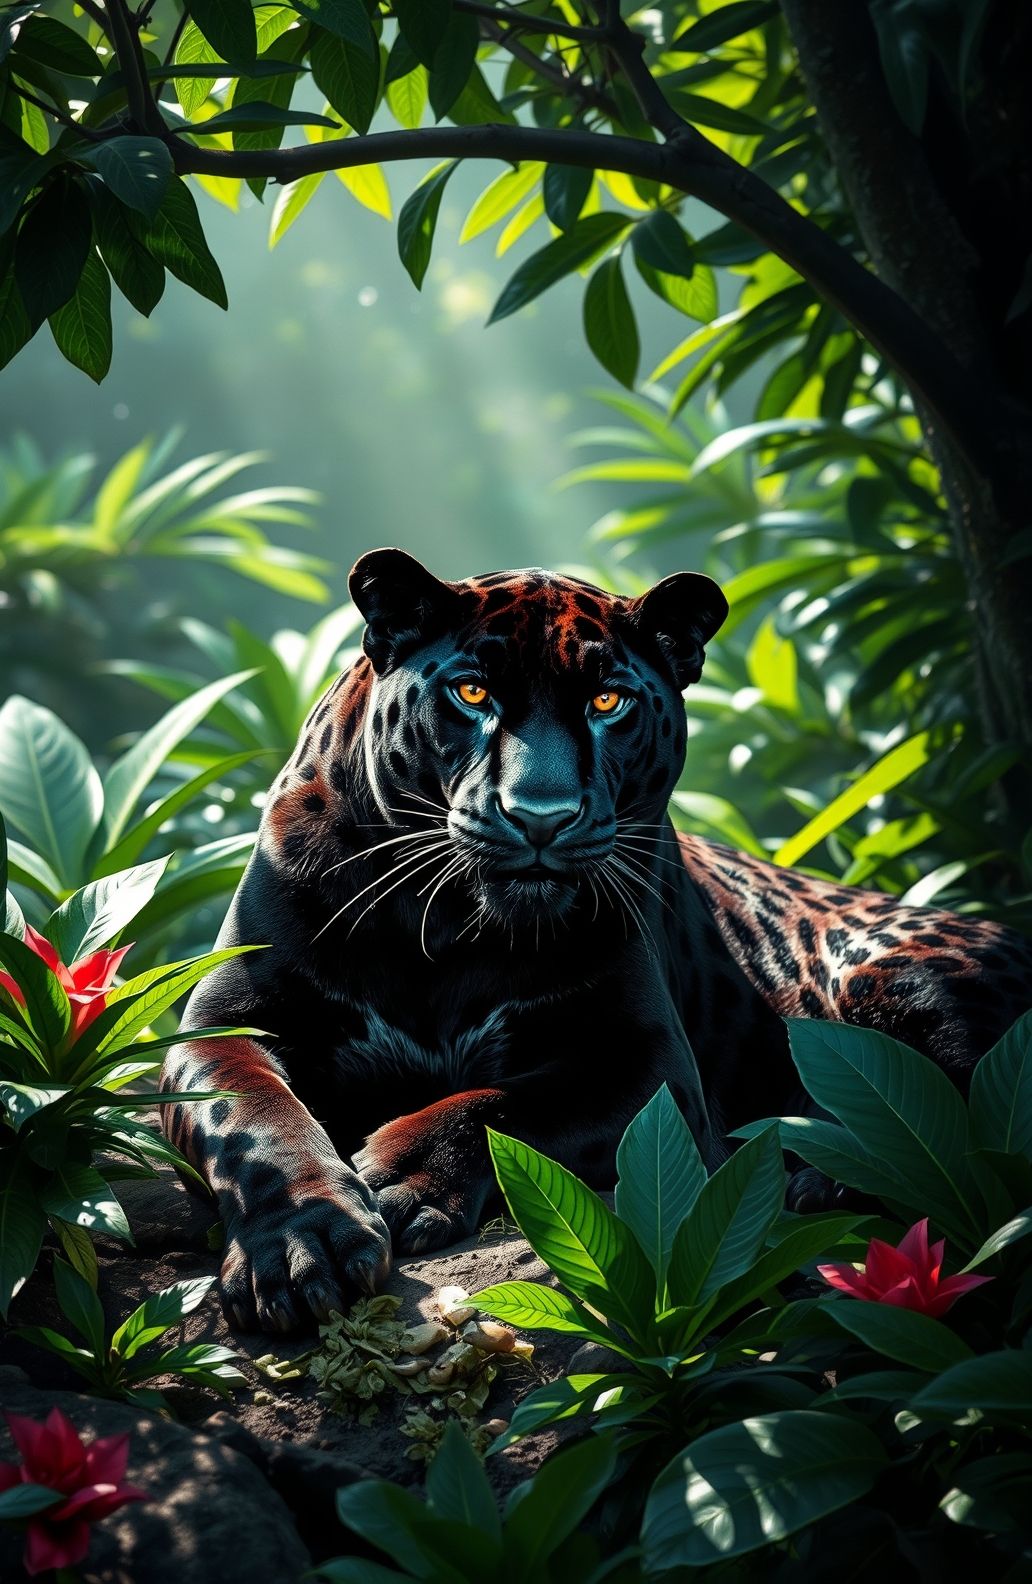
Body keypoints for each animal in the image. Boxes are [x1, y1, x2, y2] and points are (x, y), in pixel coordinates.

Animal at [161, 548, 1032, 1333]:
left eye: (609, 701)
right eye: (472, 691)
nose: (541, 815)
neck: (446, 931)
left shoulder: (649, 1058)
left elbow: (502, 1105)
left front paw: (400, 1178)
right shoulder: (223, 1021)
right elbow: (254, 1116)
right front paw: (303, 1248)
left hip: (887, 976)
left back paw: (813, 1180)